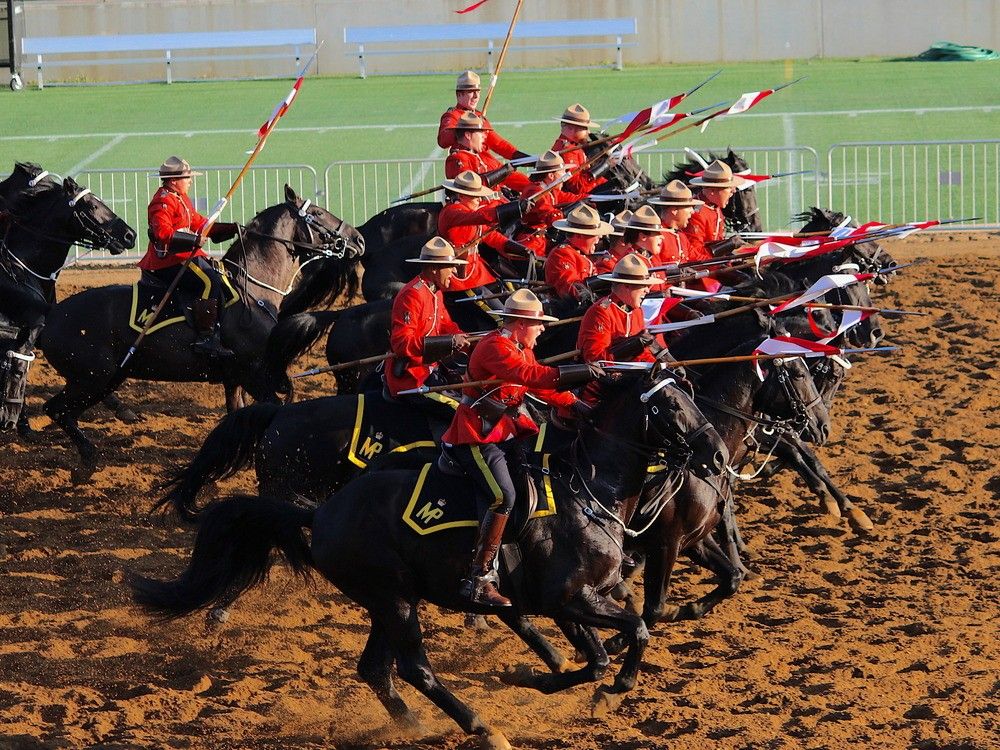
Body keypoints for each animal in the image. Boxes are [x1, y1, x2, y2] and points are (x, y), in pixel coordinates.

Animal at [41, 186, 366, 476]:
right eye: (317, 213)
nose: (358, 239)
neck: (251, 290)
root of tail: (50, 317)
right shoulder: (255, 376)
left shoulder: (235, 378)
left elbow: (237, 414)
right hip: (92, 379)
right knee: (55, 409)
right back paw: (87, 460)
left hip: (105, 379)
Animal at [133, 374, 728, 748]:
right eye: (671, 406)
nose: (719, 454)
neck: (587, 488)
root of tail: (322, 513)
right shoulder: (570, 598)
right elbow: (629, 637)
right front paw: (602, 688)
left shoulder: (580, 599)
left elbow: (605, 646)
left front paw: (547, 679)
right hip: (394, 600)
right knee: (413, 666)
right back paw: (481, 727)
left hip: (390, 602)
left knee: (377, 669)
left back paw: (415, 723)